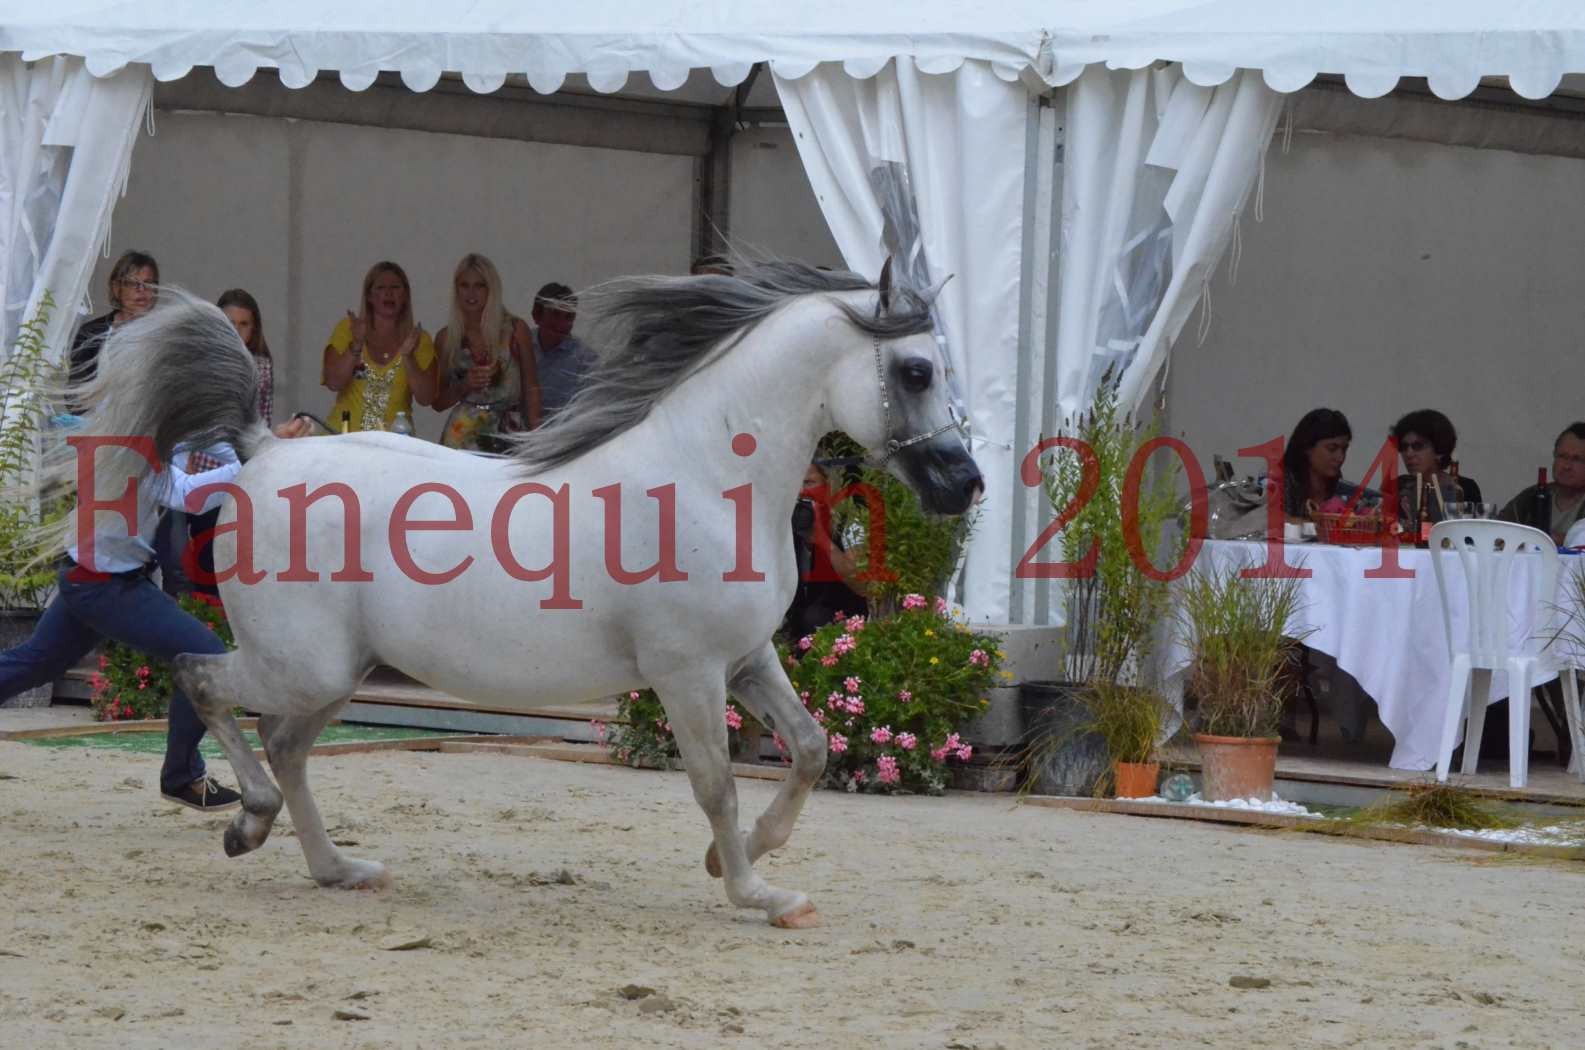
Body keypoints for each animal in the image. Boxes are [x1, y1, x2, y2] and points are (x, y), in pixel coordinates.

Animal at [71, 261, 976, 932]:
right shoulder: (686, 673)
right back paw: (248, 821)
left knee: (285, 743)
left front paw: (740, 858)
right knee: (201, 678)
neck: (707, 474)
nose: (964, 483)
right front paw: (757, 893)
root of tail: (261, 450)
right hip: (304, 665)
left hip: (338, 671)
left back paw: (337, 868)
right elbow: (715, 783)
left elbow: (813, 748)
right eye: (916, 369)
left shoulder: (747, 659)